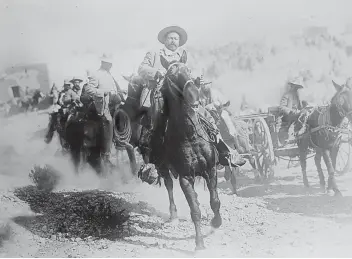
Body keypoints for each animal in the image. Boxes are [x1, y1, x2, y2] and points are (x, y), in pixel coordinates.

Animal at [148, 56, 223, 250]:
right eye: (171, 74)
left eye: (188, 70)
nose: (193, 94)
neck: (190, 135)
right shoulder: (185, 177)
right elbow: (194, 210)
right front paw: (199, 244)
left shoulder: (211, 169)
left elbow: (215, 201)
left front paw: (216, 223)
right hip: (164, 168)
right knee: (169, 186)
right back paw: (173, 216)